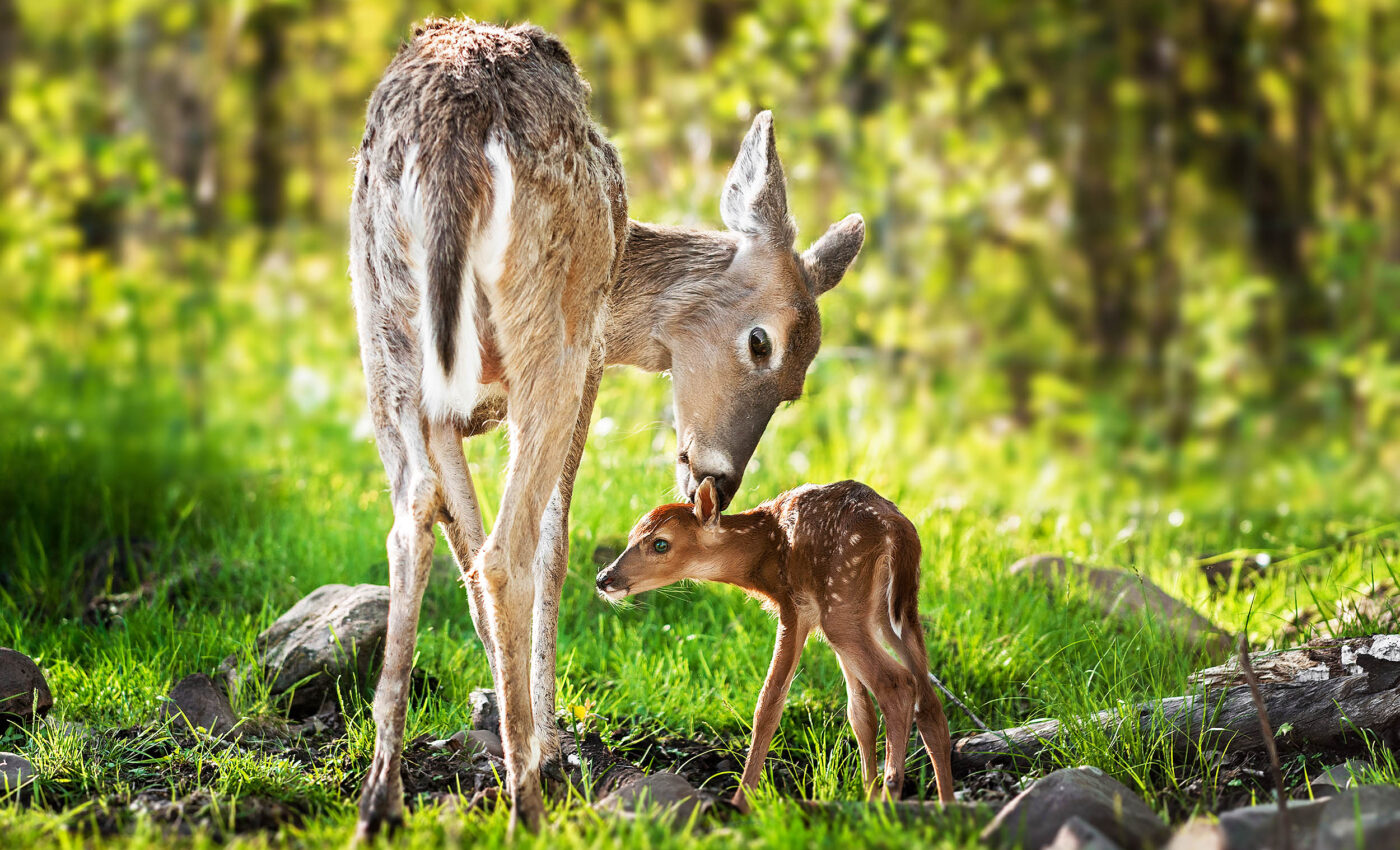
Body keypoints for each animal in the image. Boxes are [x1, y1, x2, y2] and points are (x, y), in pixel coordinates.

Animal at [349, 18, 864, 838]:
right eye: (763, 344)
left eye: (797, 387)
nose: (718, 479)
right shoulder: (591, 357)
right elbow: (553, 542)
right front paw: (545, 743)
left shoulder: (448, 413)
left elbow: (456, 541)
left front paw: (508, 721)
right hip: (551, 330)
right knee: (509, 548)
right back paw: (527, 805)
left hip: (384, 323)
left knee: (413, 524)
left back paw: (381, 801)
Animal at [594, 478, 957, 810]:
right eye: (631, 535)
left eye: (660, 544)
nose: (604, 578)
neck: (762, 557)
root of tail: (898, 531)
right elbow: (860, 714)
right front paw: (865, 792)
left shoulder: (795, 606)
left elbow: (769, 703)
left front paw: (741, 802)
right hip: (894, 612)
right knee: (928, 703)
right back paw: (944, 805)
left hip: (842, 602)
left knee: (896, 684)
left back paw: (890, 798)